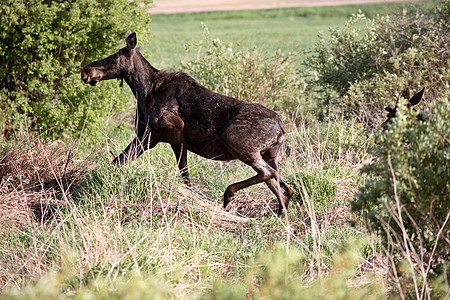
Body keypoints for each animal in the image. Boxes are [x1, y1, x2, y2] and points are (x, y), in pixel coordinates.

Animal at [81, 31, 294, 216]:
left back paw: (228, 194)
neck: (143, 91)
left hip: (236, 140)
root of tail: (282, 128)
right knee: (284, 186)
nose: (86, 71)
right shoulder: (146, 137)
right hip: (268, 154)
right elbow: (116, 162)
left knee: (270, 174)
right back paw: (279, 213)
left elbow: (185, 175)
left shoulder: (176, 134)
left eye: (115, 56)